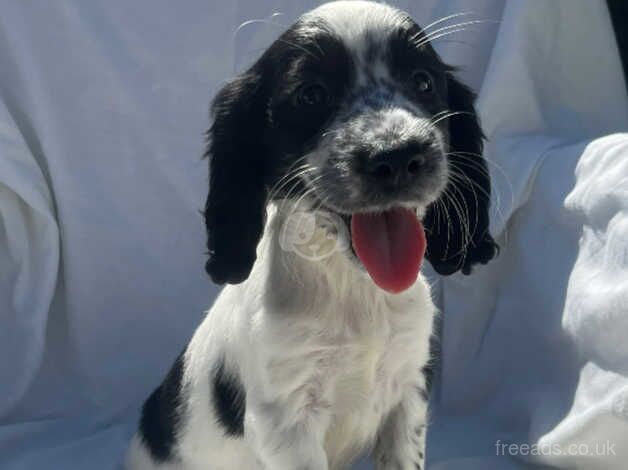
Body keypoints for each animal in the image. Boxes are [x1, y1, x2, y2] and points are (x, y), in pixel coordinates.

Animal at [126, 1, 496, 468]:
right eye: (311, 95)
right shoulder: (285, 421)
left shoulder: (409, 390)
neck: (355, 290)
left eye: (423, 82)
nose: (396, 155)